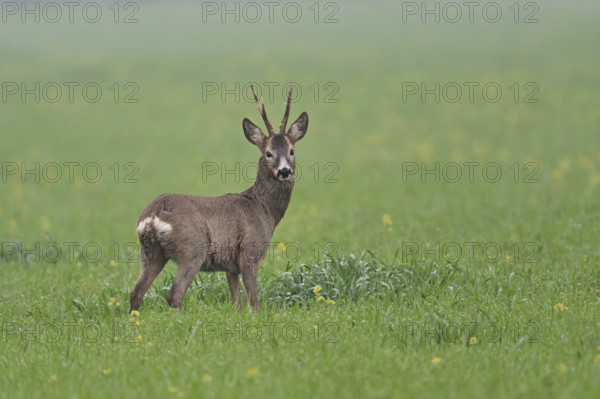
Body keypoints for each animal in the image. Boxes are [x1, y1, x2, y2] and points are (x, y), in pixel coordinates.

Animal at [131, 86, 310, 314]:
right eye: (268, 153)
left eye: (292, 151)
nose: (284, 171)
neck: (263, 209)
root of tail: (153, 215)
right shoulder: (249, 253)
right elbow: (254, 303)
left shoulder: (230, 265)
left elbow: (237, 304)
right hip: (192, 249)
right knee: (174, 294)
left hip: (150, 253)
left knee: (136, 293)